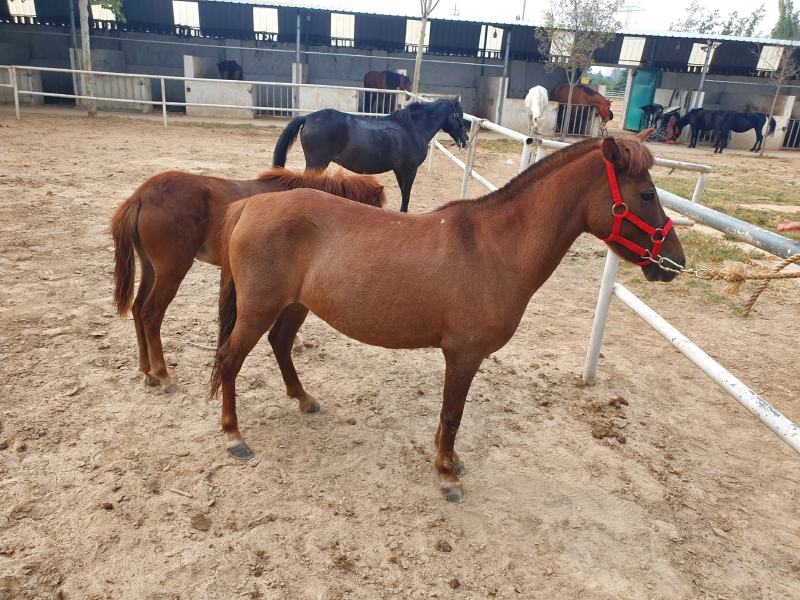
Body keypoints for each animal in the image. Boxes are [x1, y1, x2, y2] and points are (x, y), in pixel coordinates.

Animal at [110, 168, 385, 392]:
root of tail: (141, 196)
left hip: (150, 267)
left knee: (137, 308)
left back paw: (147, 371)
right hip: (171, 270)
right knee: (151, 313)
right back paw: (162, 374)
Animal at [210, 130, 684, 503]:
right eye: (647, 194)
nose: (675, 263)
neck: (495, 247)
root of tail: (251, 207)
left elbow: (450, 416)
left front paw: (451, 461)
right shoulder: (463, 355)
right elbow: (452, 415)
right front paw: (446, 476)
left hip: (295, 305)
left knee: (280, 344)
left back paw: (304, 399)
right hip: (258, 309)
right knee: (230, 360)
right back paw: (234, 436)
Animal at [272, 98, 469, 213]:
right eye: (458, 115)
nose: (465, 140)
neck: (413, 128)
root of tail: (308, 118)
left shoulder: (399, 170)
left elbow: (403, 192)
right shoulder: (410, 169)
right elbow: (406, 194)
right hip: (316, 164)